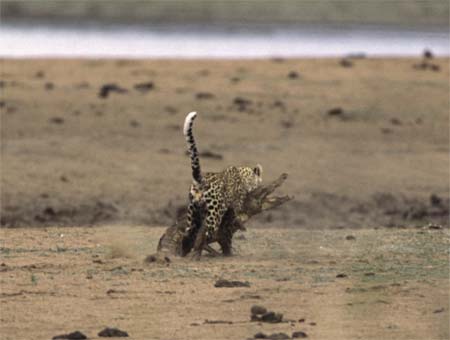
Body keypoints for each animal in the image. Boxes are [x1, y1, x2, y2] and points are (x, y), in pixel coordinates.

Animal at [181, 111, 262, 258]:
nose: (252, 188)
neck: (243, 174)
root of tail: (201, 179)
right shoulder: (237, 205)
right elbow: (236, 218)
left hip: (192, 211)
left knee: (188, 233)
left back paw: (185, 253)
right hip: (214, 214)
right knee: (206, 235)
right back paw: (201, 253)